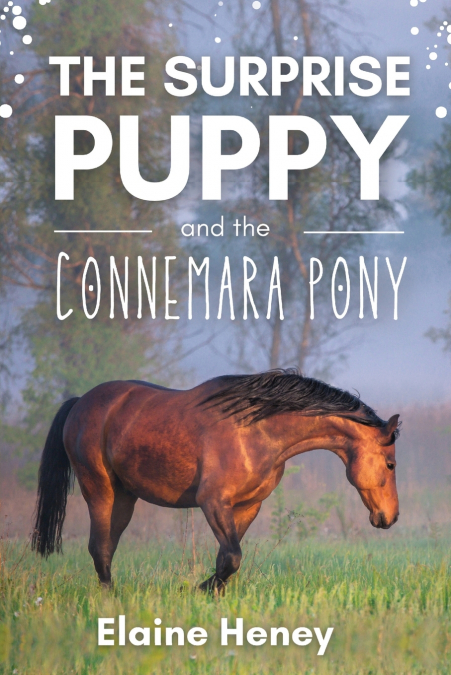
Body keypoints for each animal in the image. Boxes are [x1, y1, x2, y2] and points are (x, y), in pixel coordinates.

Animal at [32, 369, 400, 591]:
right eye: (391, 463)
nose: (391, 517)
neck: (256, 430)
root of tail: (80, 403)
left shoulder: (247, 506)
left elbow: (226, 558)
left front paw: (207, 593)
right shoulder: (212, 502)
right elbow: (233, 557)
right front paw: (196, 589)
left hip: (124, 497)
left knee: (106, 547)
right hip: (99, 490)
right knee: (99, 547)